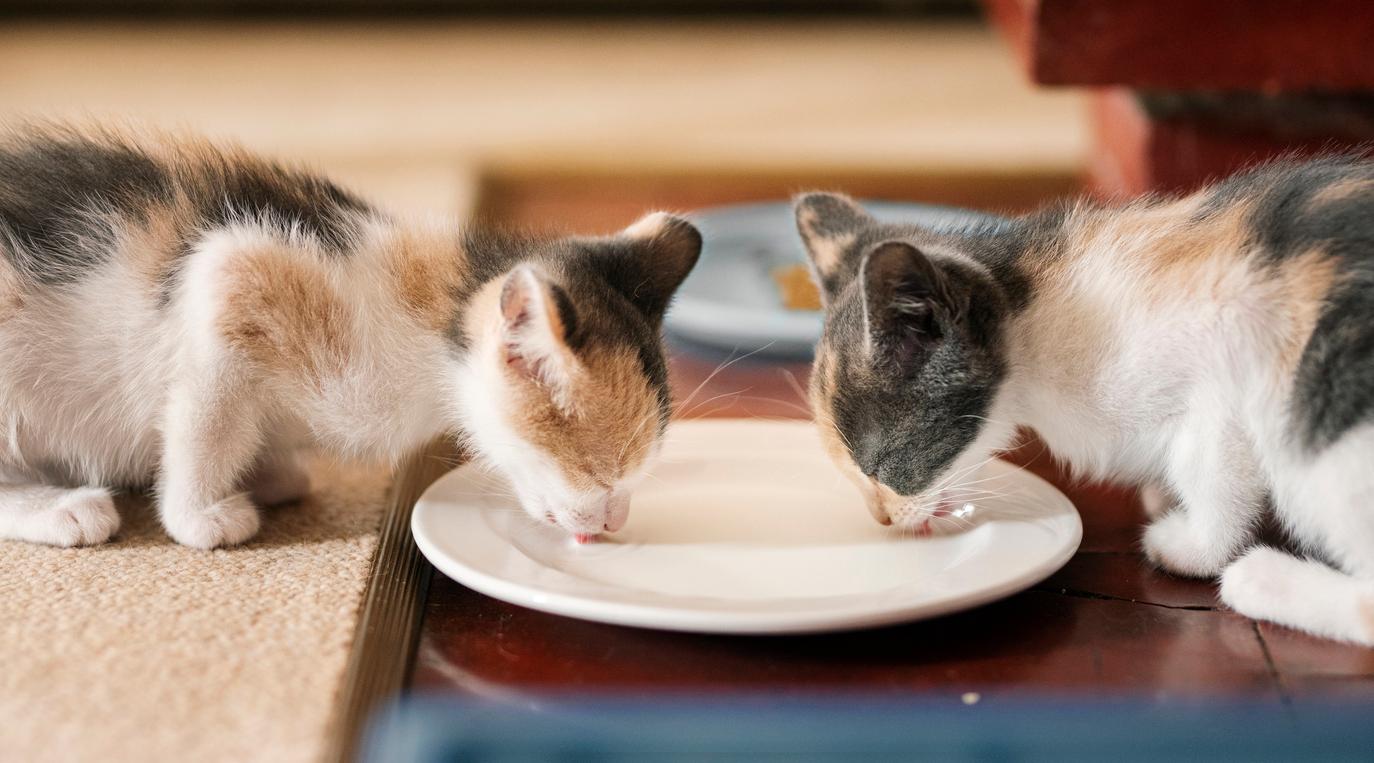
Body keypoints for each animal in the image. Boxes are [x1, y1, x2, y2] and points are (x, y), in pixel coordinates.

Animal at [0, 122, 697, 547]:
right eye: (603, 475)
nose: (615, 519)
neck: (435, 319)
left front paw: (268, 471)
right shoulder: (231, 277)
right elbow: (207, 422)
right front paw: (199, 515)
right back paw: (61, 508)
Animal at [796, 158, 1374, 648]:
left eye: (881, 464)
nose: (883, 519)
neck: (1035, 315)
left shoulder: (1222, 374)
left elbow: (1208, 467)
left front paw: (1195, 545)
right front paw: (1162, 495)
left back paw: (1260, 579)